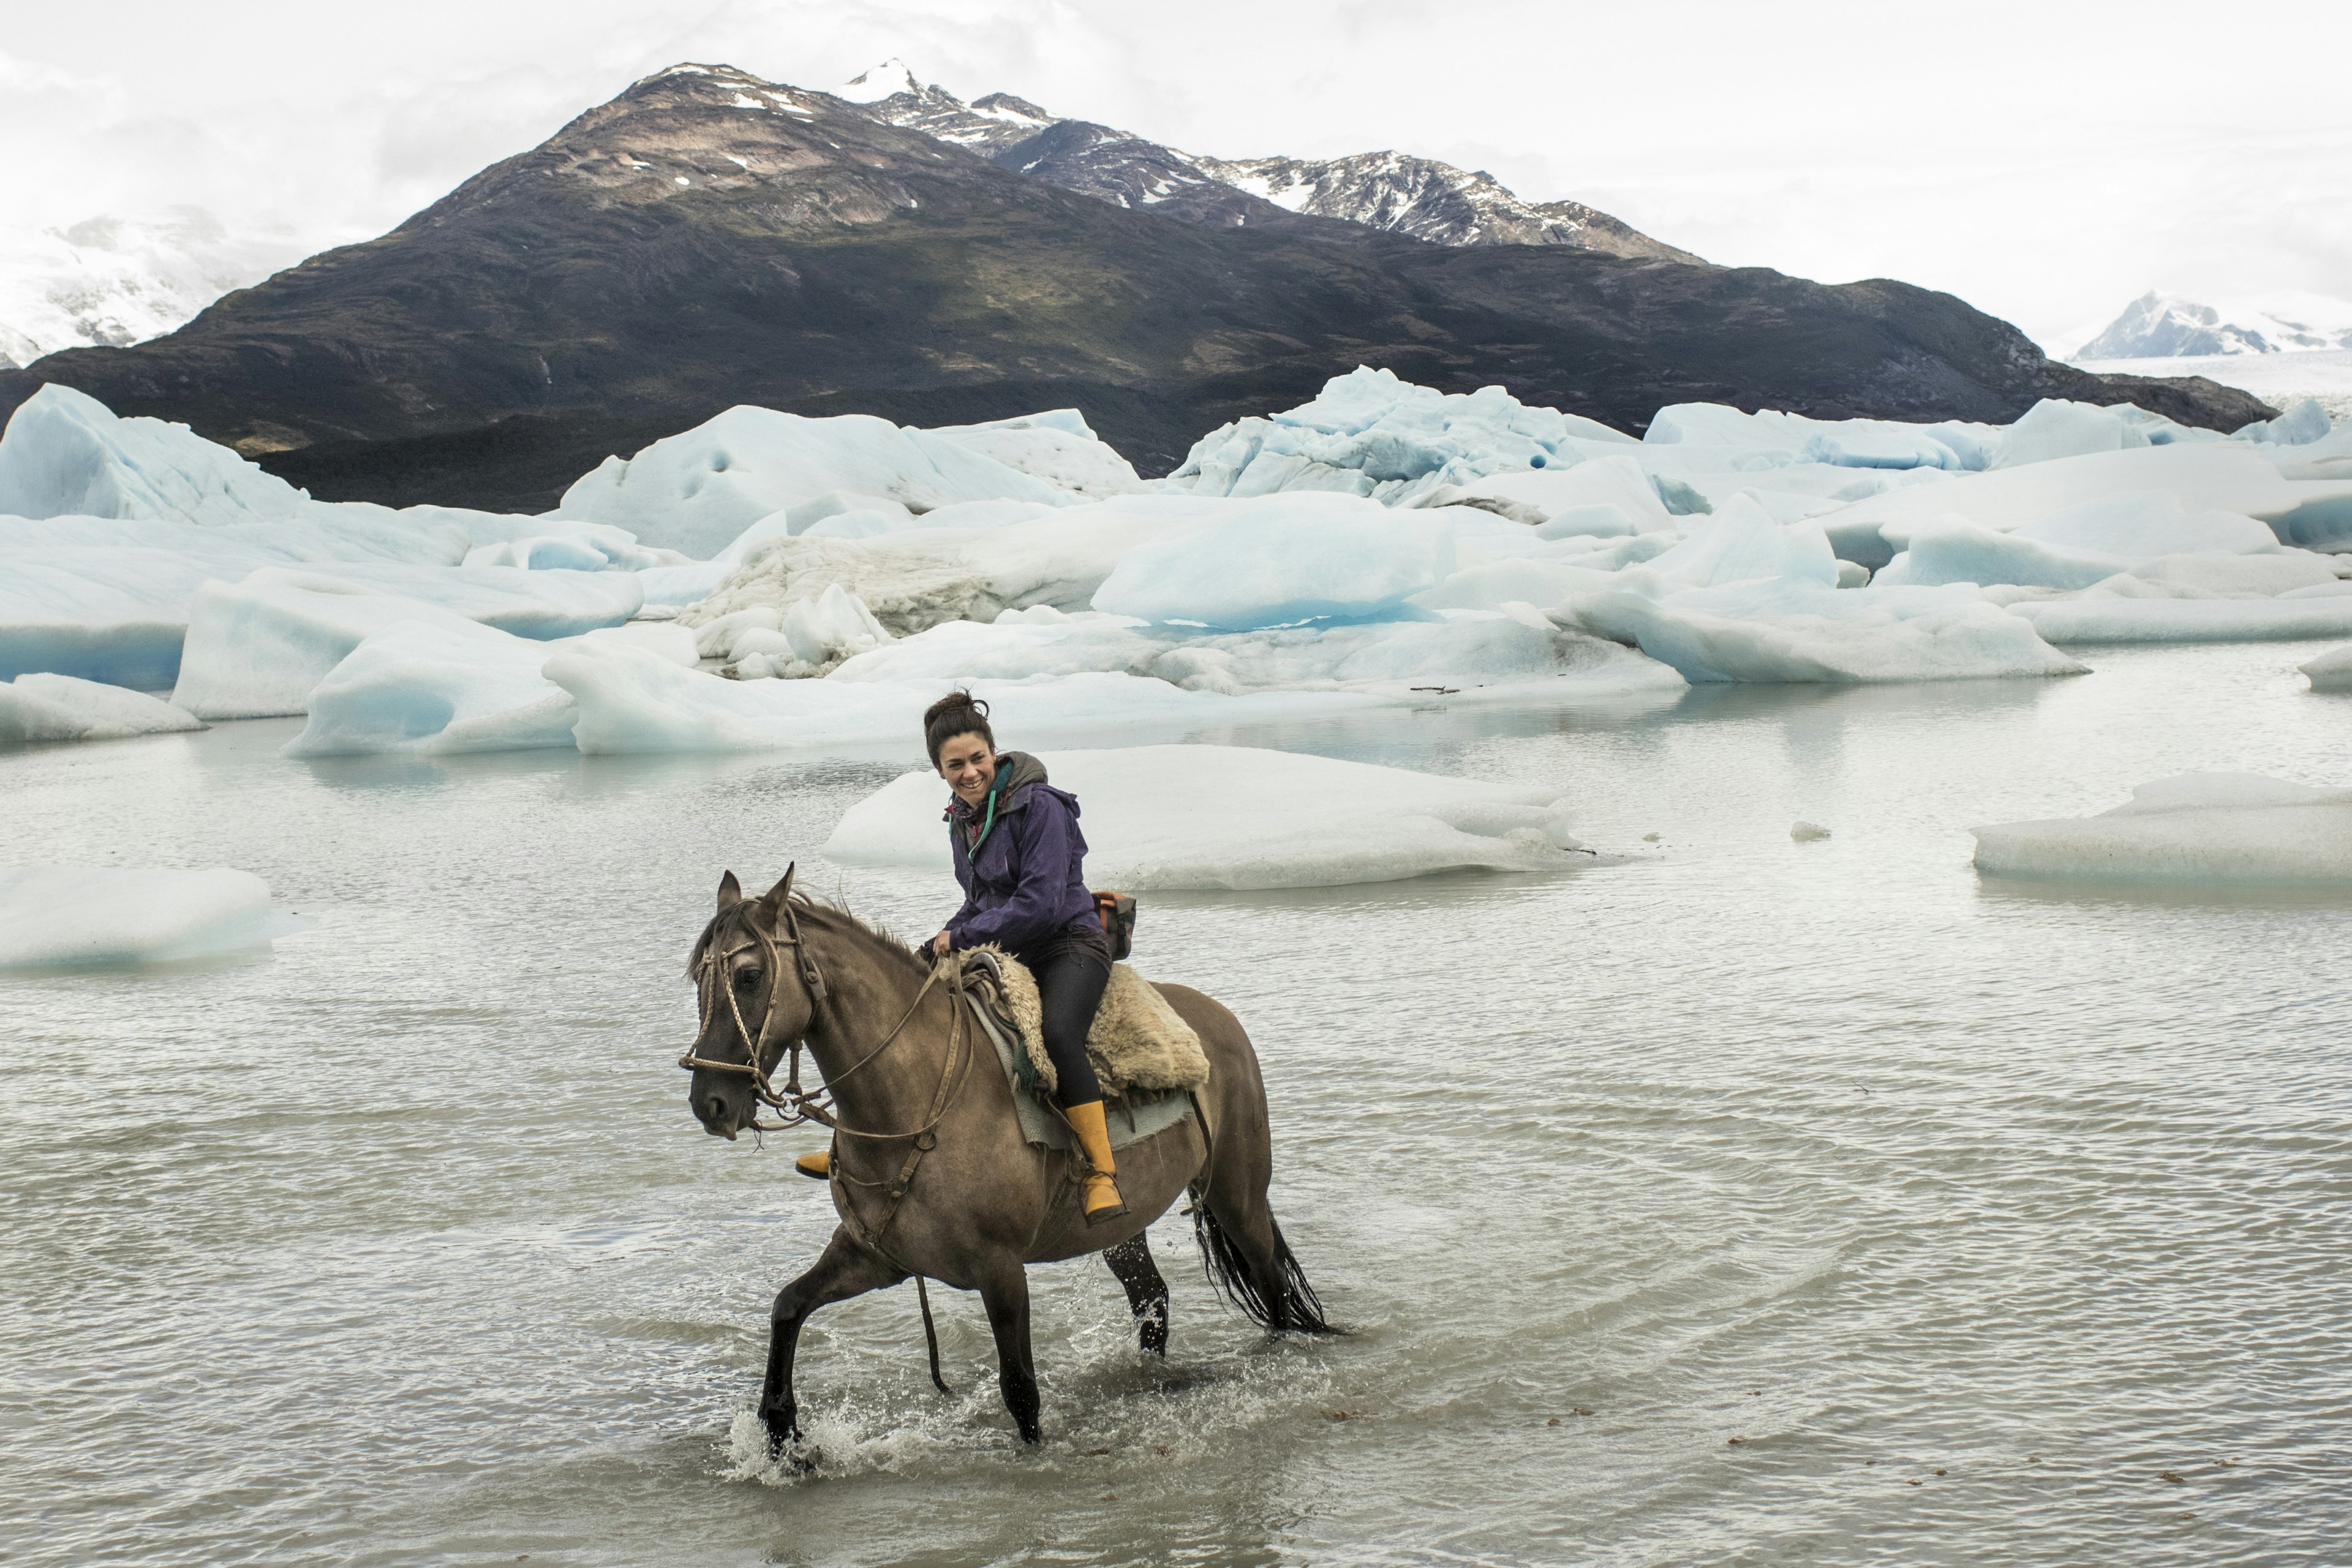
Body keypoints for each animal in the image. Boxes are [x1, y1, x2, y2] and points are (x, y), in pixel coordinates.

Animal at [682, 865, 1345, 1457]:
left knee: (1271, 1283)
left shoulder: (1000, 1268)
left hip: (1236, 1192)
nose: (710, 1101)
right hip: (1123, 1229)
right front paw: (781, 1432)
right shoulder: (877, 1256)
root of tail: (1219, 1021)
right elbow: (788, 1307)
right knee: (1152, 1299)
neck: (918, 1097)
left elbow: (1021, 1388)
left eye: (748, 975)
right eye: (698, 979)